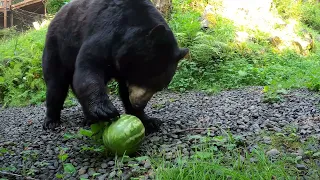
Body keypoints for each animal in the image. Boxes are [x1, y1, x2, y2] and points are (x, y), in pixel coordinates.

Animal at [41, 0, 189, 134]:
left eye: (158, 88)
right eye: (146, 78)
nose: (139, 104)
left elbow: (124, 90)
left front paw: (148, 120)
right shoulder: (105, 31)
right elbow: (89, 66)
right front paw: (105, 110)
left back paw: (89, 118)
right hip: (58, 46)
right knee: (56, 84)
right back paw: (52, 121)